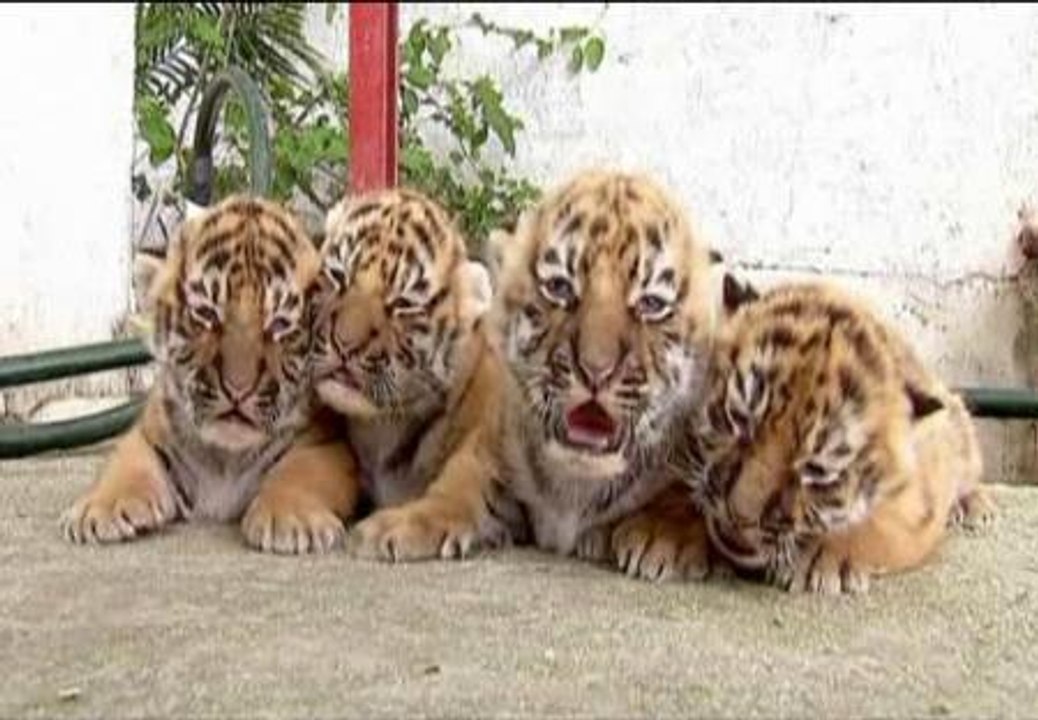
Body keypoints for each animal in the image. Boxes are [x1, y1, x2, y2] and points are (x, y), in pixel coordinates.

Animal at [60, 194, 361, 554]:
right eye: (206, 313)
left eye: (279, 324)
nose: (238, 388)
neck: (225, 459)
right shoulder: (151, 431)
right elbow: (126, 461)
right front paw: (98, 509)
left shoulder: (327, 445)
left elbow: (302, 471)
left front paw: (291, 519)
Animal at [311, 186, 524, 562]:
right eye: (339, 276)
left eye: (403, 304)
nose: (344, 344)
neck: (382, 428)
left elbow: (458, 491)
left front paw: (391, 528)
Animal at [679, 279, 997, 594]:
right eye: (738, 418)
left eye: (817, 470)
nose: (739, 516)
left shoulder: (918, 506)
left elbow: (880, 525)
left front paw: (824, 561)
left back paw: (974, 507)